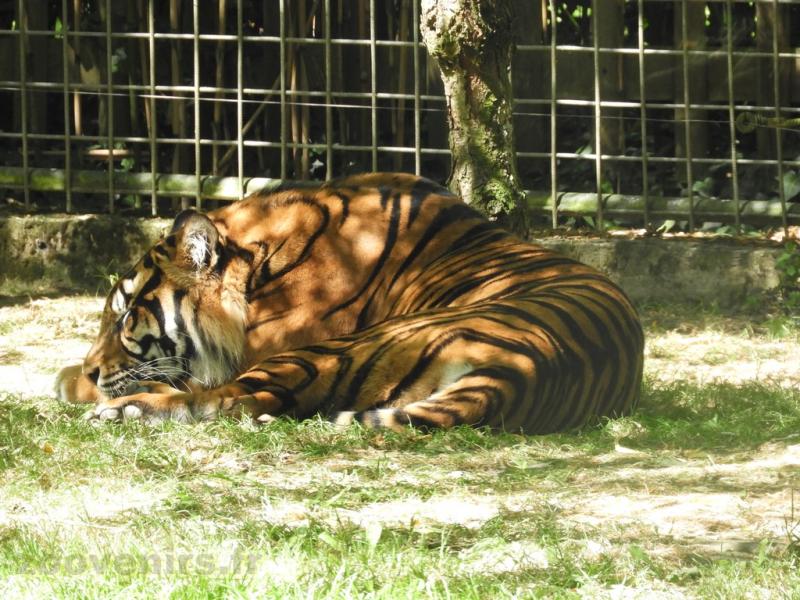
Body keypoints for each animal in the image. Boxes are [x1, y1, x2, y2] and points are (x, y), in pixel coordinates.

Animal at [55, 172, 644, 434]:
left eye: (126, 315)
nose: (90, 366)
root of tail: (522, 370)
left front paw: (73, 381)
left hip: (334, 350)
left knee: (231, 400)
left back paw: (120, 408)